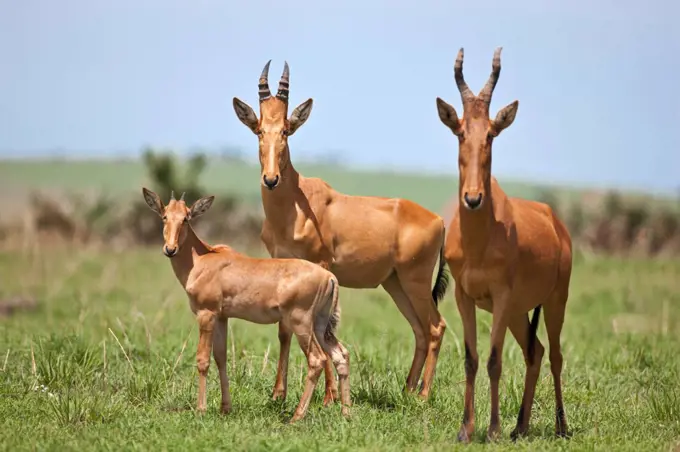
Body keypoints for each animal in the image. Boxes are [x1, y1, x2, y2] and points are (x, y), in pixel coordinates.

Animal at [139, 187, 350, 420]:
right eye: (165, 216)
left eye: (186, 218)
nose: (170, 249)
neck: (203, 259)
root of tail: (329, 277)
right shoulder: (222, 317)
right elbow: (220, 357)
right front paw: (225, 408)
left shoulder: (206, 314)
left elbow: (203, 359)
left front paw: (201, 409)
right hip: (321, 324)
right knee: (341, 355)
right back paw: (346, 413)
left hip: (301, 322)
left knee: (317, 360)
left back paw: (296, 416)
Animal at [234, 59, 452, 400]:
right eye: (259, 130)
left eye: (286, 130)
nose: (270, 179)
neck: (298, 201)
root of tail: (439, 221)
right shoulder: (284, 266)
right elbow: (284, 330)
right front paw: (278, 394)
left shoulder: (321, 265)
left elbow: (323, 330)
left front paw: (329, 397)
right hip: (395, 283)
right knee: (419, 329)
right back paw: (406, 390)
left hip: (415, 280)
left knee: (435, 327)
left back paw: (423, 395)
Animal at [436, 49, 572, 442]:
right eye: (460, 131)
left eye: (492, 134)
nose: (473, 198)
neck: (481, 239)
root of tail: (555, 222)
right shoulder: (464, 297)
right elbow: (471, 359)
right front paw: (466, 430)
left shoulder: (500, 296)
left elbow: (494, 360)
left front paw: (493, 430)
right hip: (517, 311)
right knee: (535, 351)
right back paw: (520, 426)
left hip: (554, 300)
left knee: (555, 355)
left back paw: (561, 426)